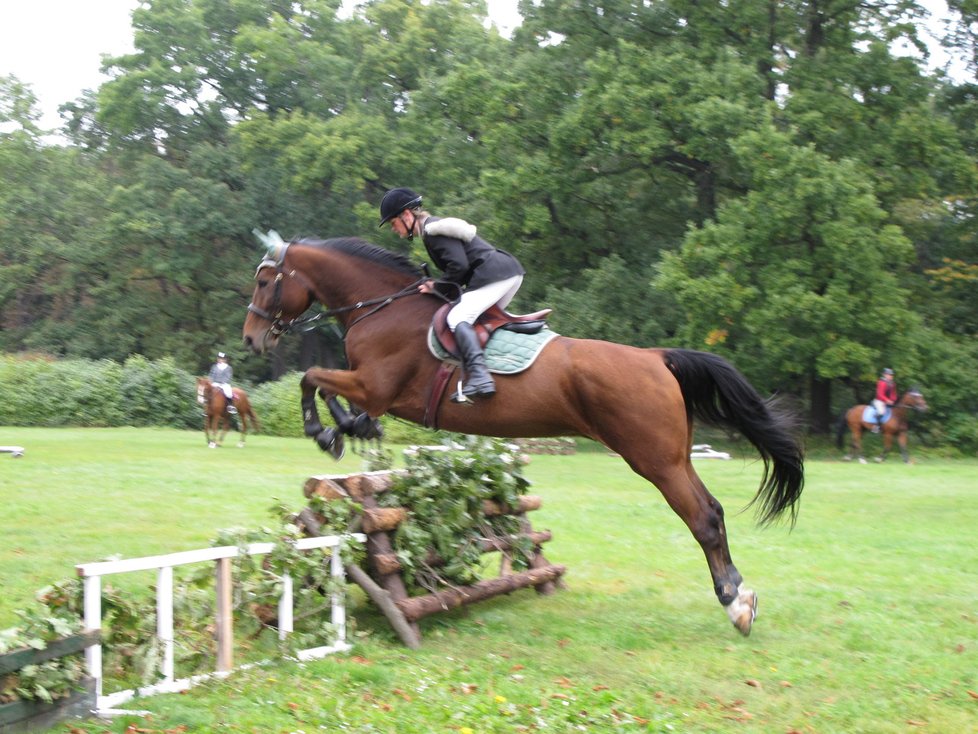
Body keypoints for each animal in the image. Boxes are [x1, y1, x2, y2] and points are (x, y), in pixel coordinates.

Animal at [242, 237, 800, 640]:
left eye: (267, 282)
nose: (251, 339)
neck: (382, 308)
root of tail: (655, 356)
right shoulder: (372, 390)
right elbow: (326, 388)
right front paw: (345, 431)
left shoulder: (377, 387)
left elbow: (311, 377)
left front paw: (323, 431)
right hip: (675, 456)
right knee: (714, 511)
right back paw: (739, 596)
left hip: (653, 460)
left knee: (701, 518)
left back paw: (734, 604)